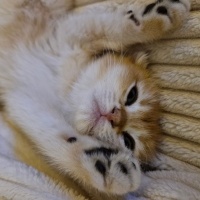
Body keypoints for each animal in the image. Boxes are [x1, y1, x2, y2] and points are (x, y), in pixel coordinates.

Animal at [0, 0, 189, 197]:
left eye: (128, 141)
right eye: (132, 95)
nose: (114, 116)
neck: (62, 83)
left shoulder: (25, 100)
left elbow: (55, 138)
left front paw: (104, 163)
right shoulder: (67, 32)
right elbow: (108, 26)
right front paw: (154, 16)